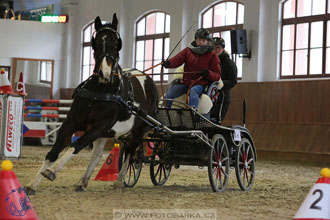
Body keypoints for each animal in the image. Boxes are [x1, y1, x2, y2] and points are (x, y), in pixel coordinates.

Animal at [24, 13, 159, 194]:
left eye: (116, 43)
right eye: (95, 43)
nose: (105, 74)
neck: (99, 92)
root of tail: (149, 80)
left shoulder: (98, 127)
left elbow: (75, 145)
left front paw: (51, 171)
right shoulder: (72, 123)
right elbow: (53, 152)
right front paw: (33, 184)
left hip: (138, 130)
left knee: (130, 152)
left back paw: (120, 180)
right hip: (107, 132)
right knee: (97, 154)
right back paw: (83, 181)